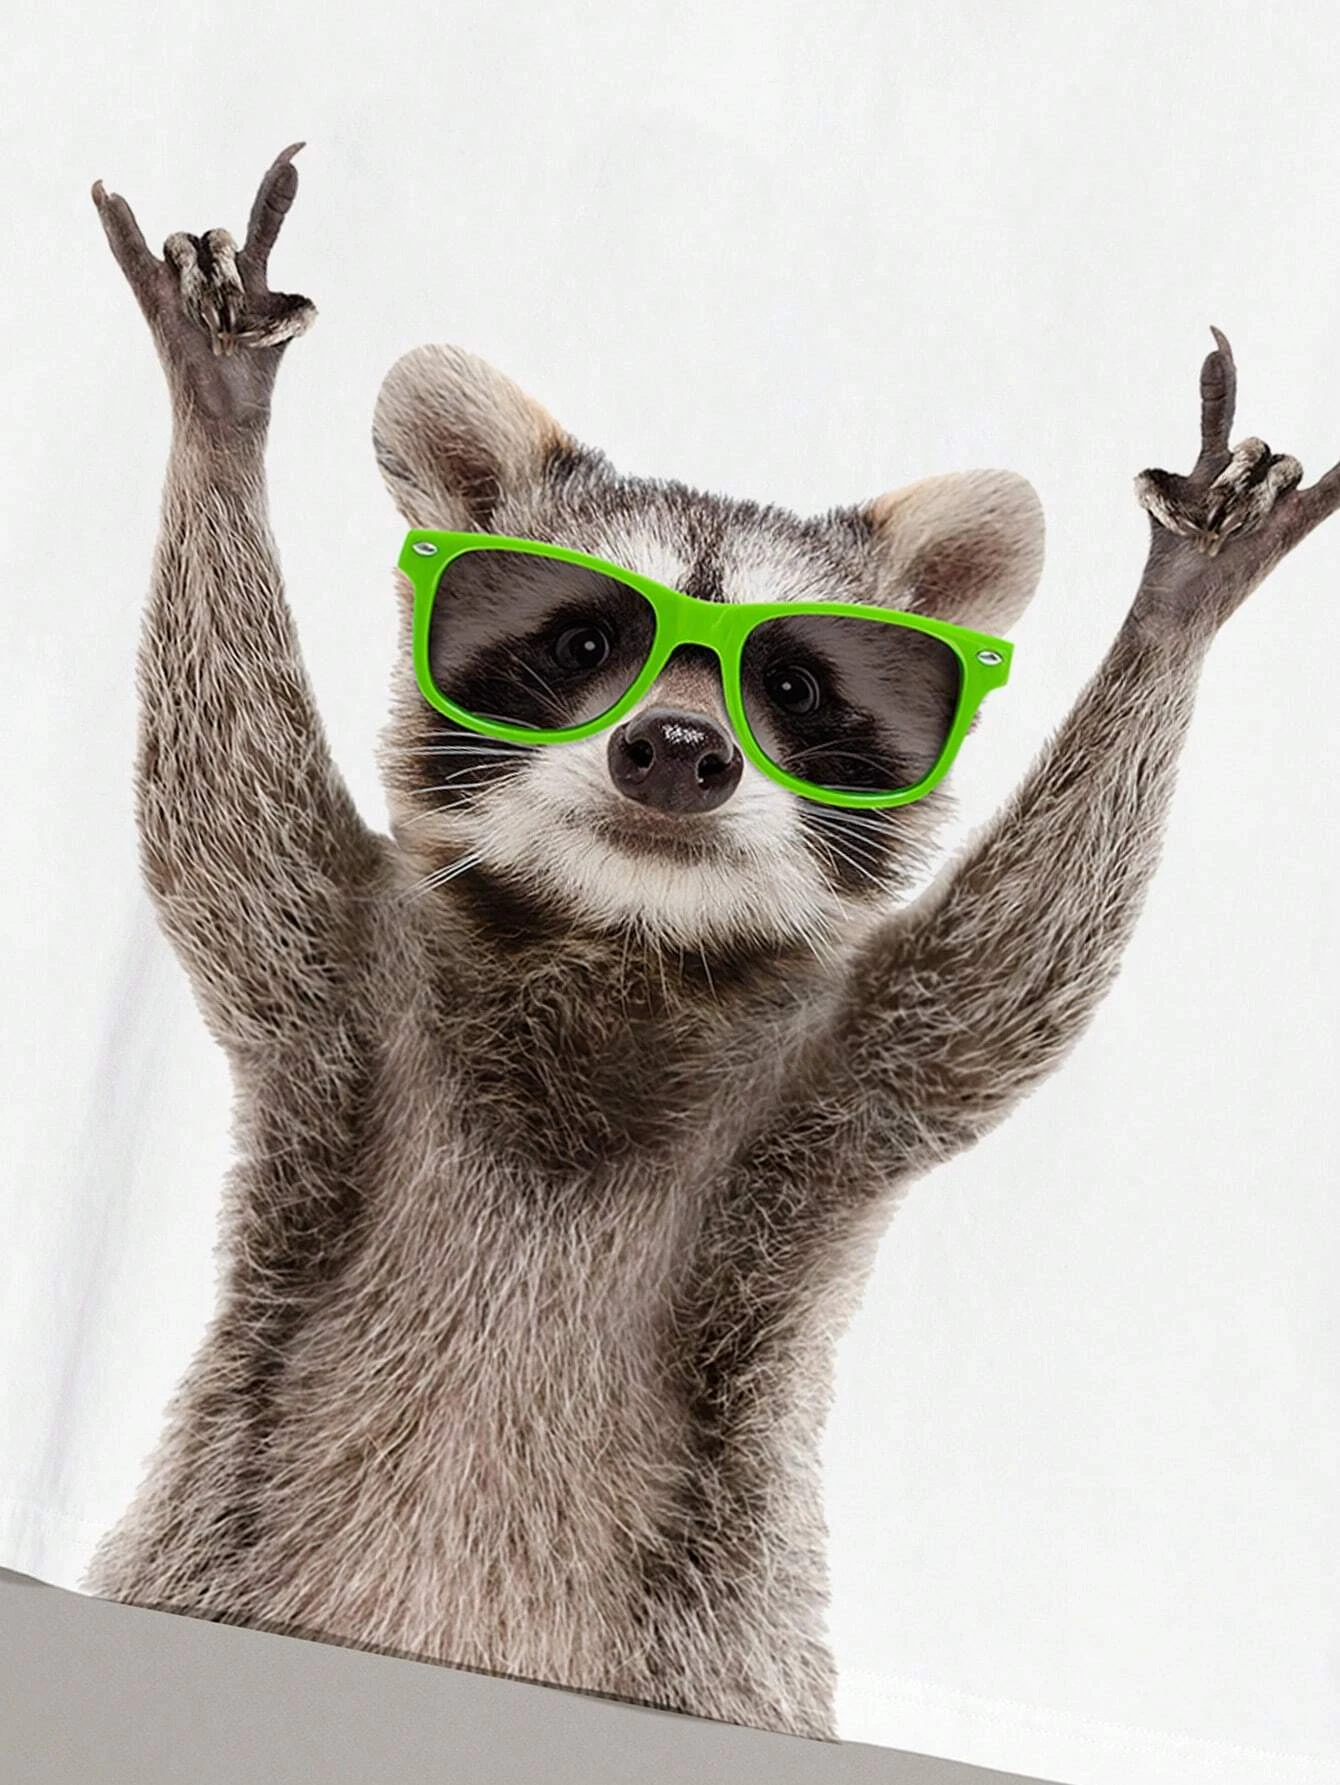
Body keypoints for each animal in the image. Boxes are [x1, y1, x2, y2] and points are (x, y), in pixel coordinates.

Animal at [83, 145, 1340, 1741]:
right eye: (582, 643)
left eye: (791, 685)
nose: (677, 752)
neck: (621, 939)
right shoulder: (340, 984)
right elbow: (217, 806)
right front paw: (221, 421)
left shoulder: (841, 1083)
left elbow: (1014, 971)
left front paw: (1174, 615)